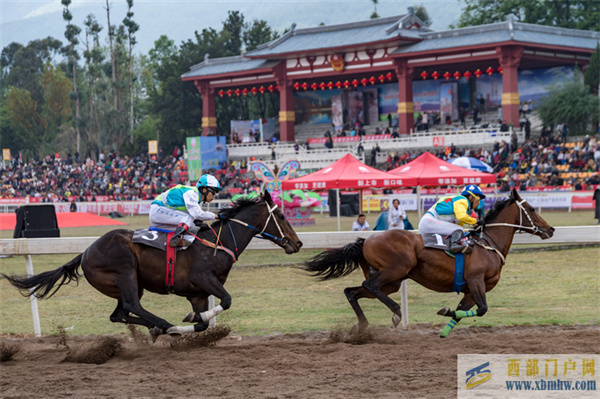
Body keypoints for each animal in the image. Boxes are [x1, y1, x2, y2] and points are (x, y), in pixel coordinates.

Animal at [2, 192, 302, 342]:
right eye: (282, 215)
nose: (297, 243)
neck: (218, 242)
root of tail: (85, 252)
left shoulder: (197, 294)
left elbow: (203, 323)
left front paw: (193, 321)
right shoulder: (204, 279)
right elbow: (225, 301)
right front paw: (186, 321)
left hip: (124, 285)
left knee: (120, 314)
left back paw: (158, 329)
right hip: (125, 273)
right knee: (132, 306)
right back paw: (165, 325)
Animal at [302, 190, 556, 338]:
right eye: (531, 209)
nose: (551, 229)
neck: (488, 245)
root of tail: (367, 240)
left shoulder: (470, 290)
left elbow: (461, 312)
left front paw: (444, 328)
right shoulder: (476, 281)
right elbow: (483, 309)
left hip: (392, 282)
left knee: (352, 291)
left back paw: (361, 326)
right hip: (396, 269)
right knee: (369, 285)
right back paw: (396, 313)